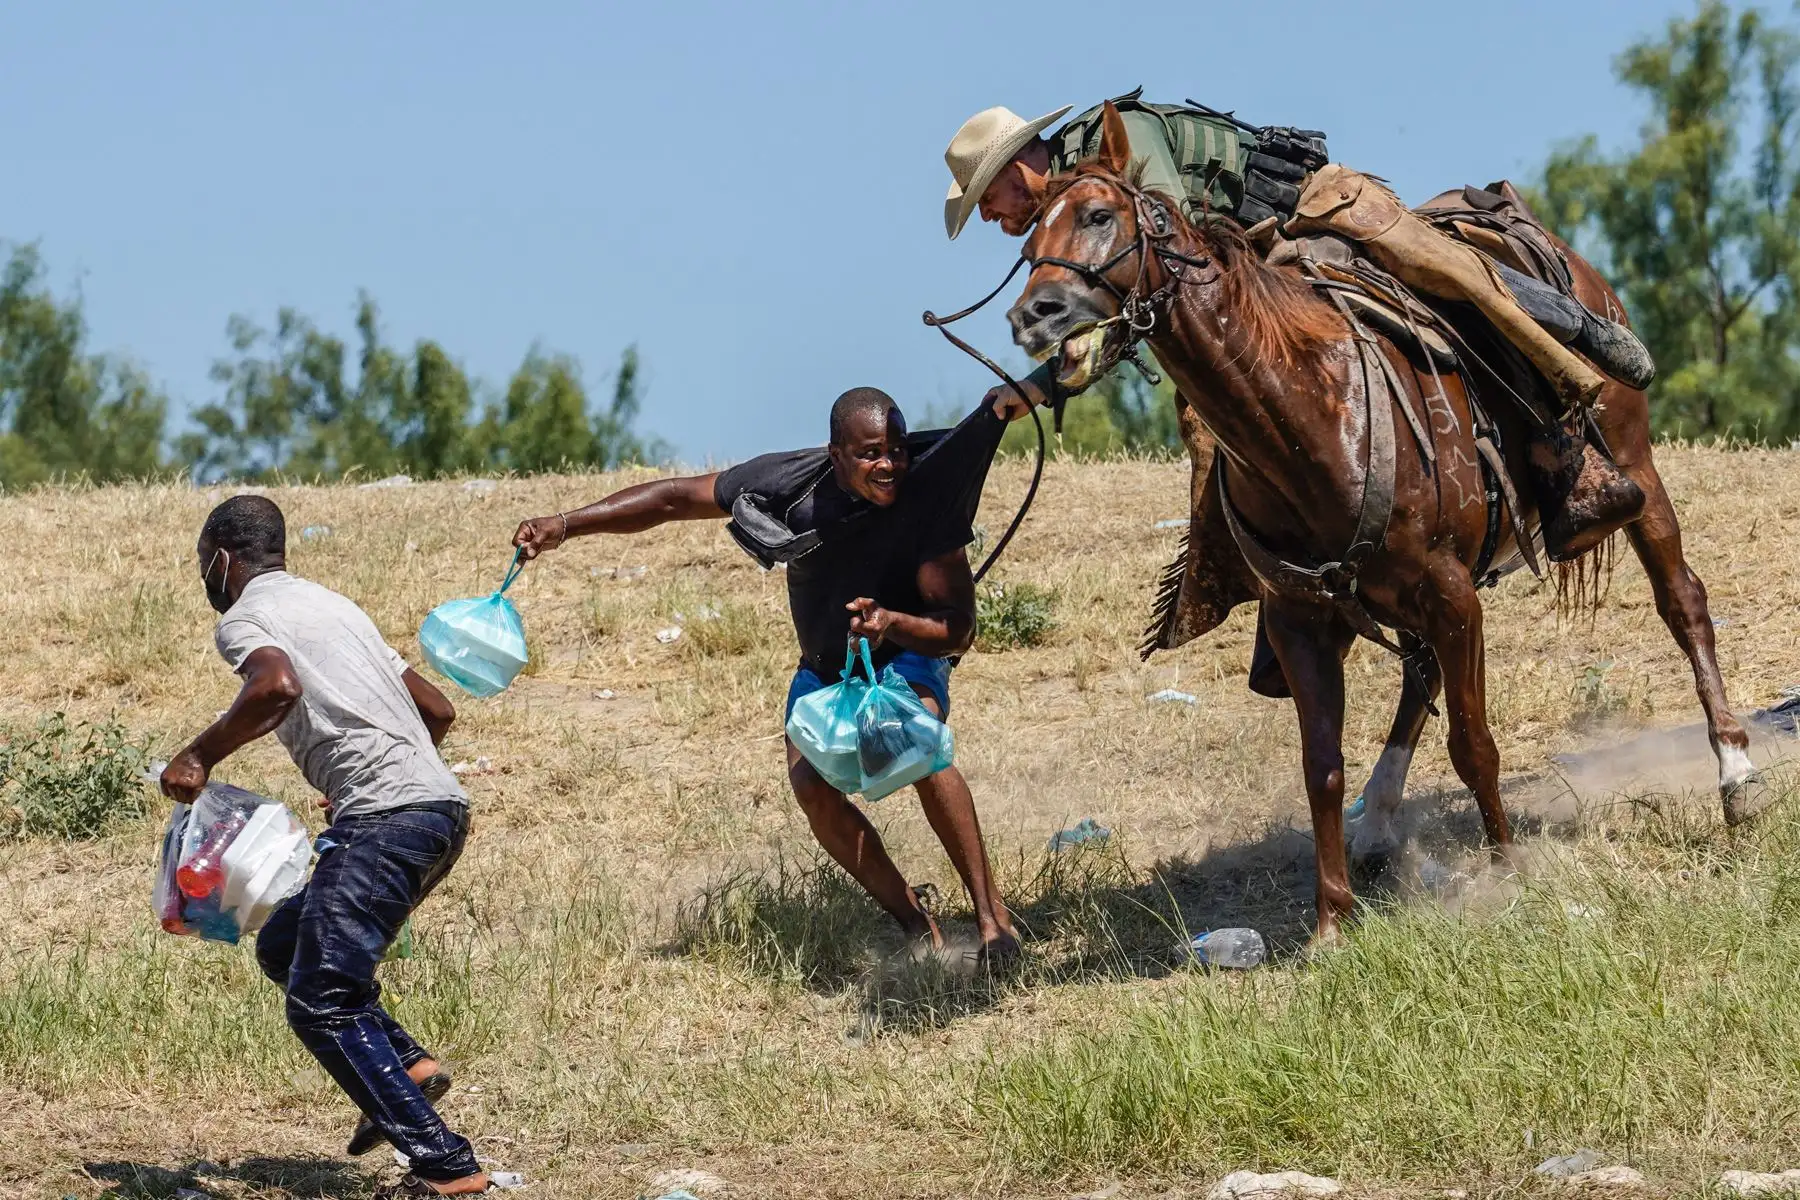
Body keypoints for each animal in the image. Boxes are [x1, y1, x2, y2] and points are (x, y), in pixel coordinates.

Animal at [1004, 102, 1751, 944]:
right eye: (1028, 246)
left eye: (1100, 217)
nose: (1033, 315)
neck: (1311, 413)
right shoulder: (1302, 619)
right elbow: (1322, 766)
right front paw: (1332, 920)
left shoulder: (1452, 594)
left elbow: (1473, 745)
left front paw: (1507, 871)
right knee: (1419, 673)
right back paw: (1380, 823)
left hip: (1635, 469)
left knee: (1683, 602)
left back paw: (1736, 775)